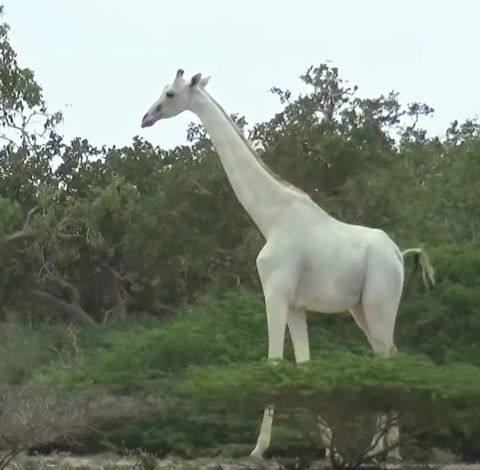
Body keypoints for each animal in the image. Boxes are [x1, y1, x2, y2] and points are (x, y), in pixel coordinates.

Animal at [142, 70, 436, 462]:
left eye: (170, 94)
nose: (147, 117)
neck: (271, 217)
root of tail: (399, 254)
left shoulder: (275, 293)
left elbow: (274, 362)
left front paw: (258, 449)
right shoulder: (297, 305)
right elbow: (304, 365)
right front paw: (328, 450)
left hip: (380, 303)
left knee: (387, 359)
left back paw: (380, 451)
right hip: (360, 308)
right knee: (388, 355)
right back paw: (388, 451)